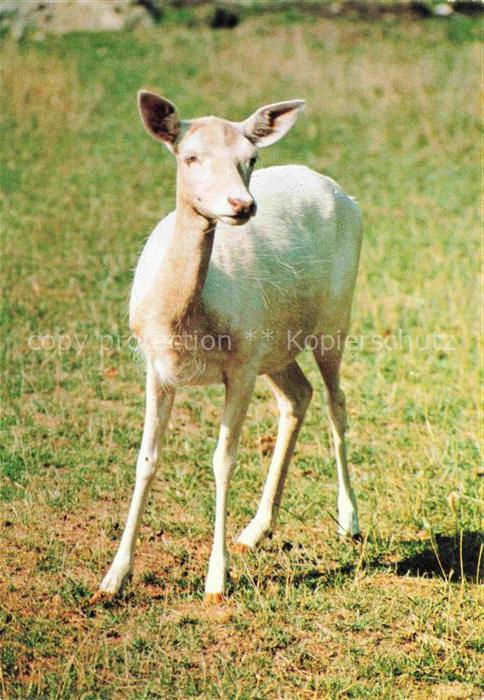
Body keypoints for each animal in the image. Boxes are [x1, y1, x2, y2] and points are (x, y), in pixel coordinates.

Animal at [91, 90, 362, 605]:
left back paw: (350, 521)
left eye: (250, 158)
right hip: (274, 345)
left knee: (336, 403)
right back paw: (255, 530)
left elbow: (223, 462)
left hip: (332, 320)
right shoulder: (156, 366)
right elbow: (145, 459)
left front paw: (216, 582)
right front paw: (112, 579)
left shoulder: (240, 366)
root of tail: (344, 193)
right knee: (298, 396)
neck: (184, 322)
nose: (242, 204)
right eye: (190, 156)